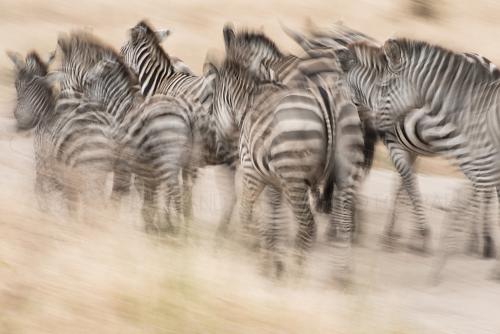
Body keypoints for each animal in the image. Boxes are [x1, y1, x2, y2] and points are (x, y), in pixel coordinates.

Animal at [7, 49, 114, 217]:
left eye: (16, 85)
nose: (20, 122)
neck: (49, 113)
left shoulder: (43, 162)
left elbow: (41, 194)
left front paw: (46, 216)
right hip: (98, 174)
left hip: (82, 173)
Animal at [209, 46, 366, 280]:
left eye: (213, 104)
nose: (219, 141)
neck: (248, 104)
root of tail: (327, 99)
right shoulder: (276, 180)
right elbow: (273, 214)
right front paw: (270, 251)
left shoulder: (253, 172)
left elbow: (247, 211)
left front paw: (256, 247)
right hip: (346, 166)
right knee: (344, 222)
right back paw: (341, 275)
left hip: (294, 172)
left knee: (308, 224)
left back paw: (294, 271)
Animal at [342, 37, 500, 280]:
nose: (373, 129)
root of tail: (486, 64)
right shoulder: (410, 148)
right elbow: (402, 186)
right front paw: (403, 233)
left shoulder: (396, 146)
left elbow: (408, 183)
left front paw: (415, 235)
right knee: (484, 187)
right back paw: (479, 242)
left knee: (481, 184)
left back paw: (478, 241)